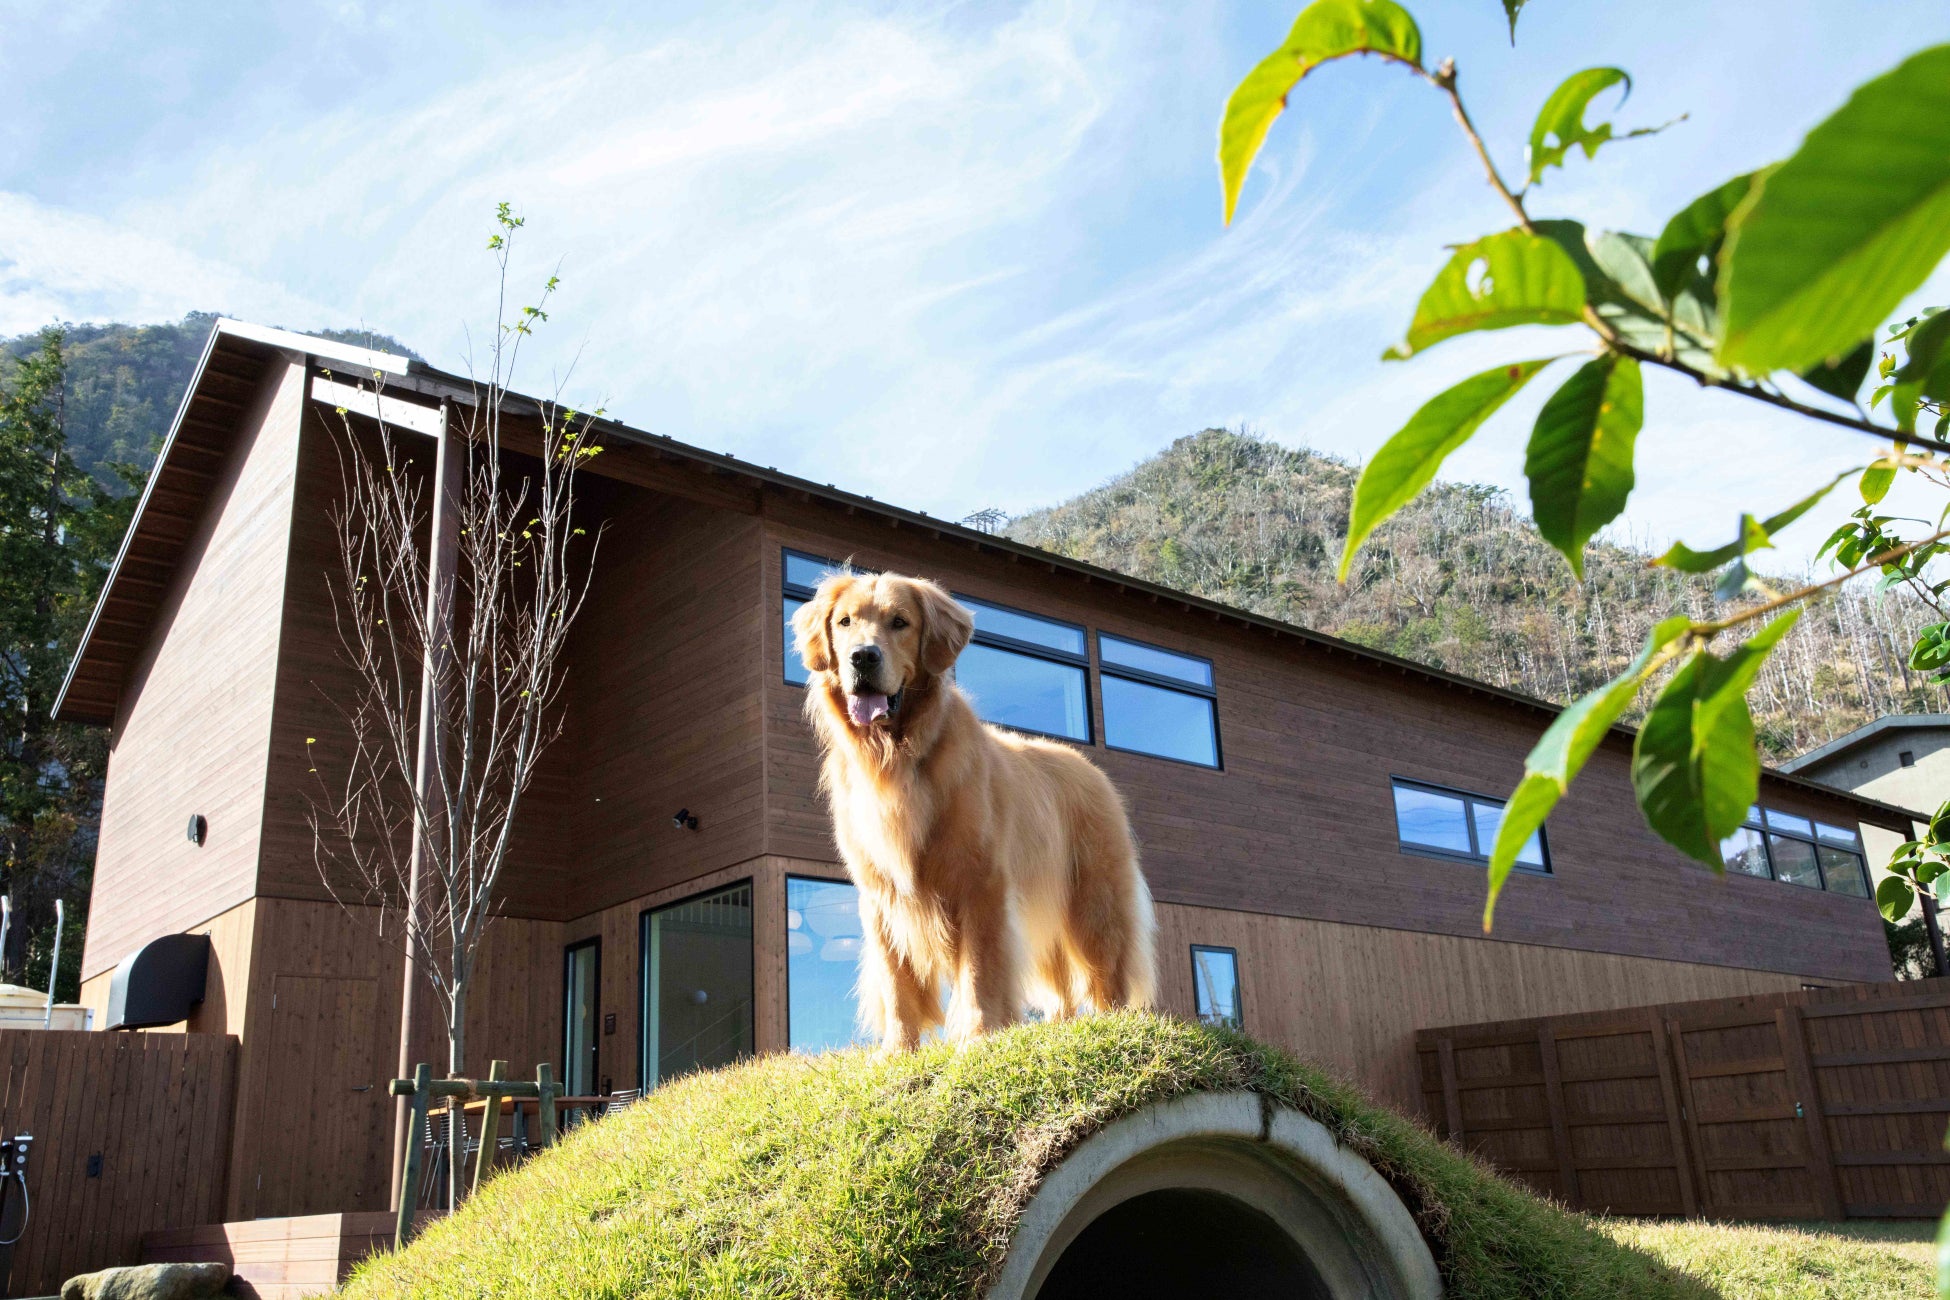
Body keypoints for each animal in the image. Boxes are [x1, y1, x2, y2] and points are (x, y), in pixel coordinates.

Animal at [795, 573, 1154, 1052]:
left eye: (899, 622)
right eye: (845, 622)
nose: (862, 657)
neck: (899, 756)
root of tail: (1092, 769)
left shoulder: (980, 882)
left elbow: (981, 969)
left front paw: (981, 1034)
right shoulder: (880, 893)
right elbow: (896, 981)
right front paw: (898, 1050)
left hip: (1095, 901)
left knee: (1107, 973)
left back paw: (1112, 1024)